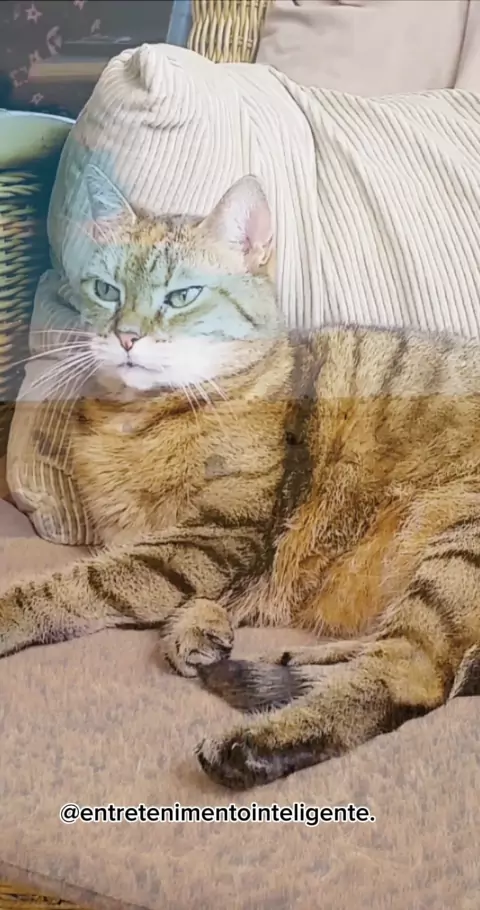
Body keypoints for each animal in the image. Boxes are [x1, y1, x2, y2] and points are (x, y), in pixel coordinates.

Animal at [3, 167, 480, 791]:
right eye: (106, 290)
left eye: (182, 296)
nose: (126, 335)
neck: (134, 420)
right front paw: (199, 628)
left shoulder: (215, 538)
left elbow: (80, 584)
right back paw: (294, 661)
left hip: (455, 545)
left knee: (415, 678)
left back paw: (255, 746)